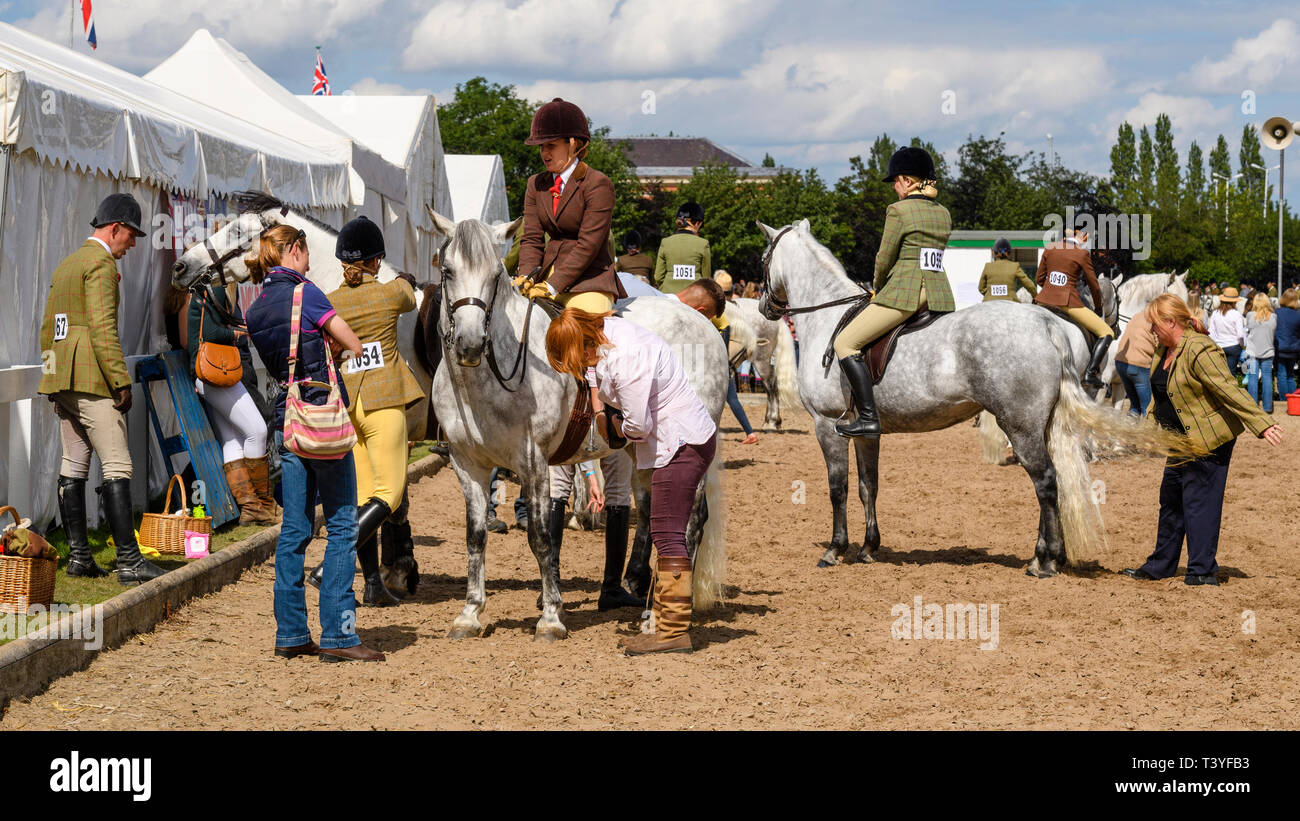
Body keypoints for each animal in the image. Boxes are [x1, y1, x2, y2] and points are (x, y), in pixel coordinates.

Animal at [426, 210, 733, 641]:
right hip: (645, 449)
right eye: (448, 271)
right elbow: (475, 536)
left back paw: (663, 611)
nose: (470, 343)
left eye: (496, 275)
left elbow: (540, 537)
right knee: (651, 512)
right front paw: (470, 614)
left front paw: (552, 618)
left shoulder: (532, 462)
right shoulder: (467, 464)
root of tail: (703, 323)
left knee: (690, 521)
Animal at [759, 219, 1196, 576]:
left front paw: (835, 550)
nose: (766, 306)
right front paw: (869, 548)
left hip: (1020, 424)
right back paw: (1050, 554)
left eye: (763, 257)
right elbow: (869, 485)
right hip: (1041, 424)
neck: (827, 317)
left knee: (1045, 480)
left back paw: (1043, 561)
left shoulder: (826, 424)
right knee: (1053, 478)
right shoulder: (866, 432)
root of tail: (1047, 325)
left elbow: (839, 488)